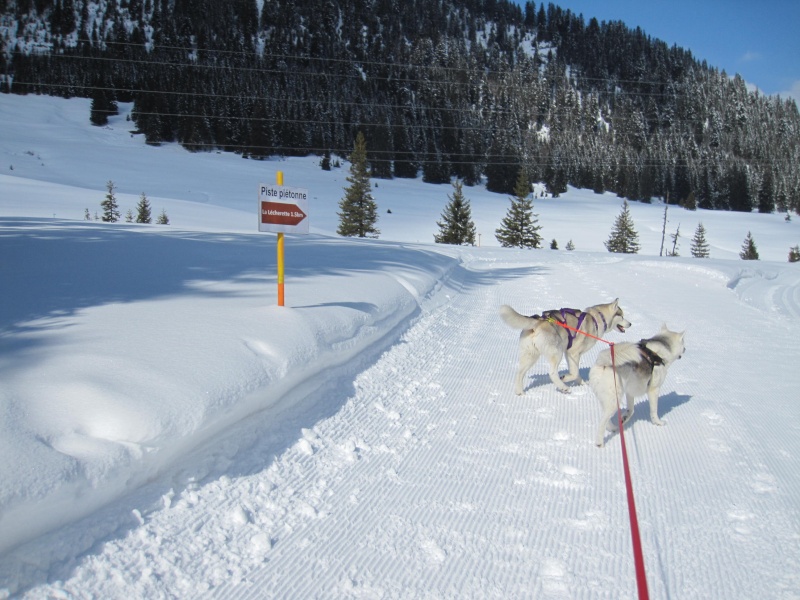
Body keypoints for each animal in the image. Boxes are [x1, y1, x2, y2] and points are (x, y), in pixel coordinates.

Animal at [500, 298, 632, 394]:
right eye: (622, 316)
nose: (630, 324)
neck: (596, 319)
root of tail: (538, 321)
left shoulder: (570, 354)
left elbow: (576, 373)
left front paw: (583, 384)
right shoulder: (572, 352)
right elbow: (574, 373)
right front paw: (566, 378)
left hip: (530, 355)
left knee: (519, 373)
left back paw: (520, 392)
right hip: (556, 352)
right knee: (552, 373)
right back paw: (563, 386)